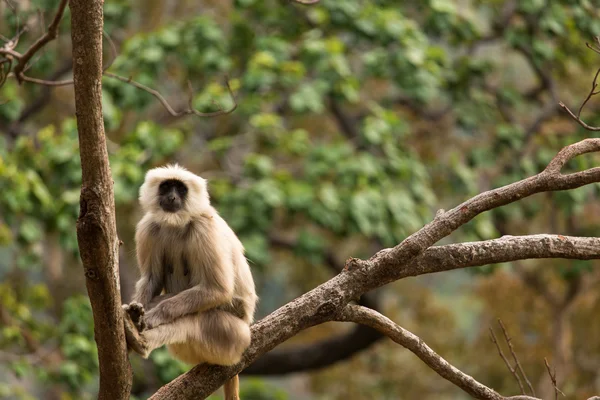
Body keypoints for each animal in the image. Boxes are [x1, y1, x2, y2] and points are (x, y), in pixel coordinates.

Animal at [124, 163, 258, 400]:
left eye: (181, 189)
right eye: (166, 186)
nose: (172, 197)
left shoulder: (204, 227)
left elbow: (218, 289)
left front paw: (152, 317)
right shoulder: (148, 227)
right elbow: (151, 280)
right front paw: (135, 313)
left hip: (235, 338)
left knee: (195, 319)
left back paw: (141, 341)